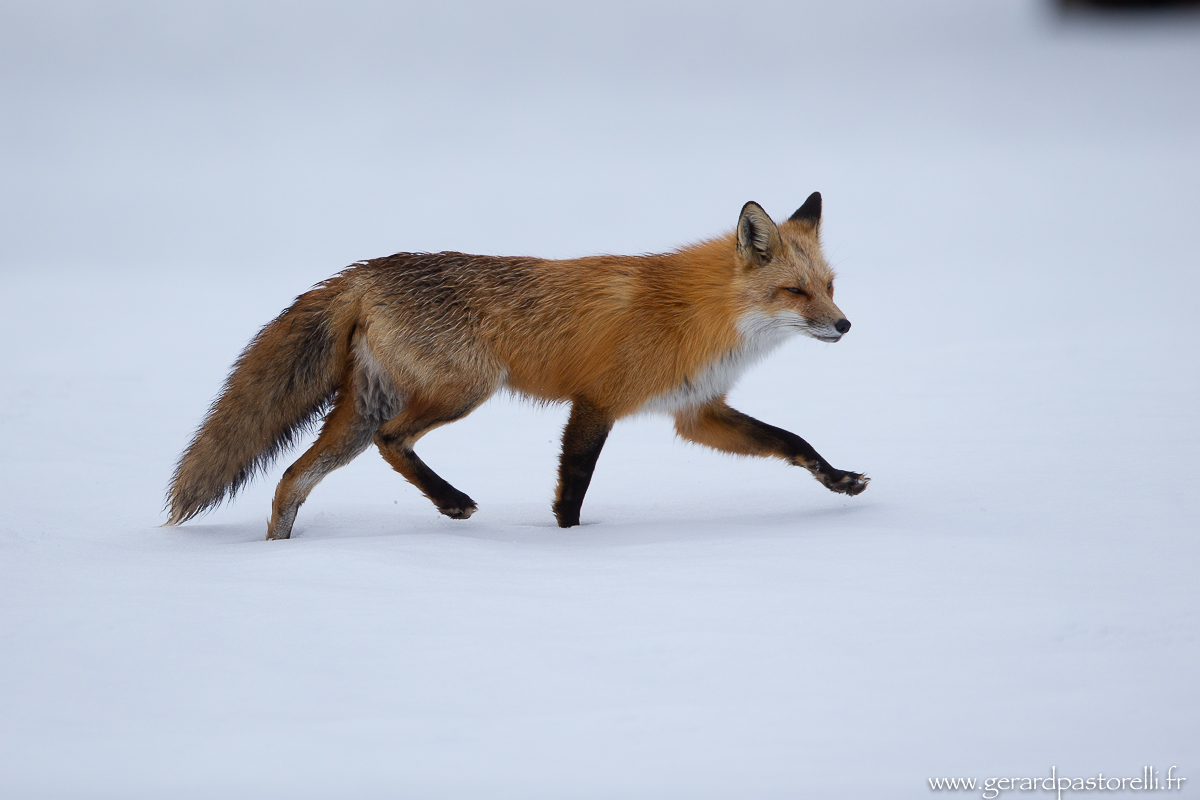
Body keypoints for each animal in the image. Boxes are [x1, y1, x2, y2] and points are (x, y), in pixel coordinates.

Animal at [166, 193, 869, 540]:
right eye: (795, 292)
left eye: (831, 286)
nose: (844, 325)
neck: (700, 313)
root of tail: (364, 269)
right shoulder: (597, 402)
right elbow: (574, 487)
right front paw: (567, 544)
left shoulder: (697, 412)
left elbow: (792, 441)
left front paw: (838, 481)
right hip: (461, 390)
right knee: (392, 442)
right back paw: (451, 502)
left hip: (364, 411)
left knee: (292, 478)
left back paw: (280, 557)